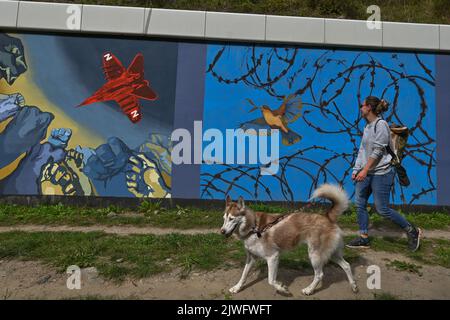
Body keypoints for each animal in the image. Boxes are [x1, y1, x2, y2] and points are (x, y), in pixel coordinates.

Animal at [220, 184, 356, 296]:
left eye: (232, 218)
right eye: (224, 218)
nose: (222, 231)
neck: (254, 227)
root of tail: (327, 217)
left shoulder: (273, 257)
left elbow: (271, 280)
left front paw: (282, 289)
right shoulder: (251, 258)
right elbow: (243, 275)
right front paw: (237, 288)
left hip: (315, 255)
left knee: (319, 275)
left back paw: (309, 290)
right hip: (331, 253)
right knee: (347, 265)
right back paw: (353, 286)